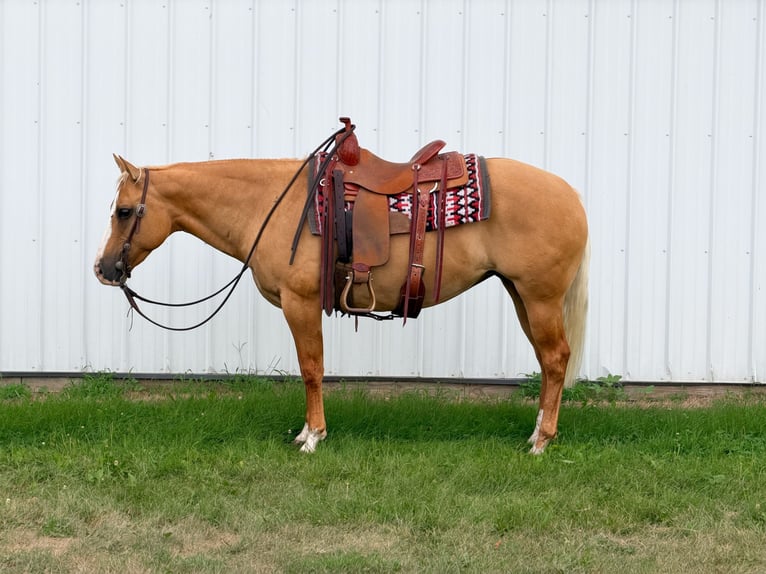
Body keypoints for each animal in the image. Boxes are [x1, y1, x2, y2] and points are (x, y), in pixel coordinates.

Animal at [94, 133, 589, 455]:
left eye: (124, 211)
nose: (103, 269)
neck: (271, 204)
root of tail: (572, 196)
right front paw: (308, 432)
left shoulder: (300, 303)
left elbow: (311, 369)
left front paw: (313, 437)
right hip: (521, 294)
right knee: (548, 362)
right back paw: (536, 434)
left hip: (539, 298)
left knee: (555, 359)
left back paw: (542, 442)